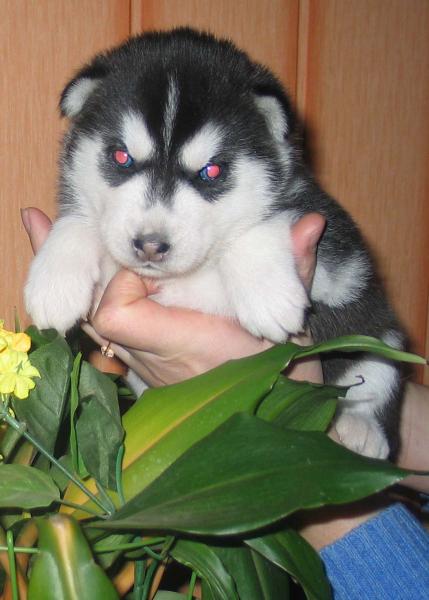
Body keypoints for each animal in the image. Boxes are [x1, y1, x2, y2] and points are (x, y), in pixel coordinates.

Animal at [25, 28, 405, 459]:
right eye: (121, 157)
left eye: (212, 171)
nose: (150, 245)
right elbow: (78, 221)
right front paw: (55, 282)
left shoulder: (337, 256)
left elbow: (273, 218)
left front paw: (267, 293)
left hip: (379, 337)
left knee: (373, 377)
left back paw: (362, 427)